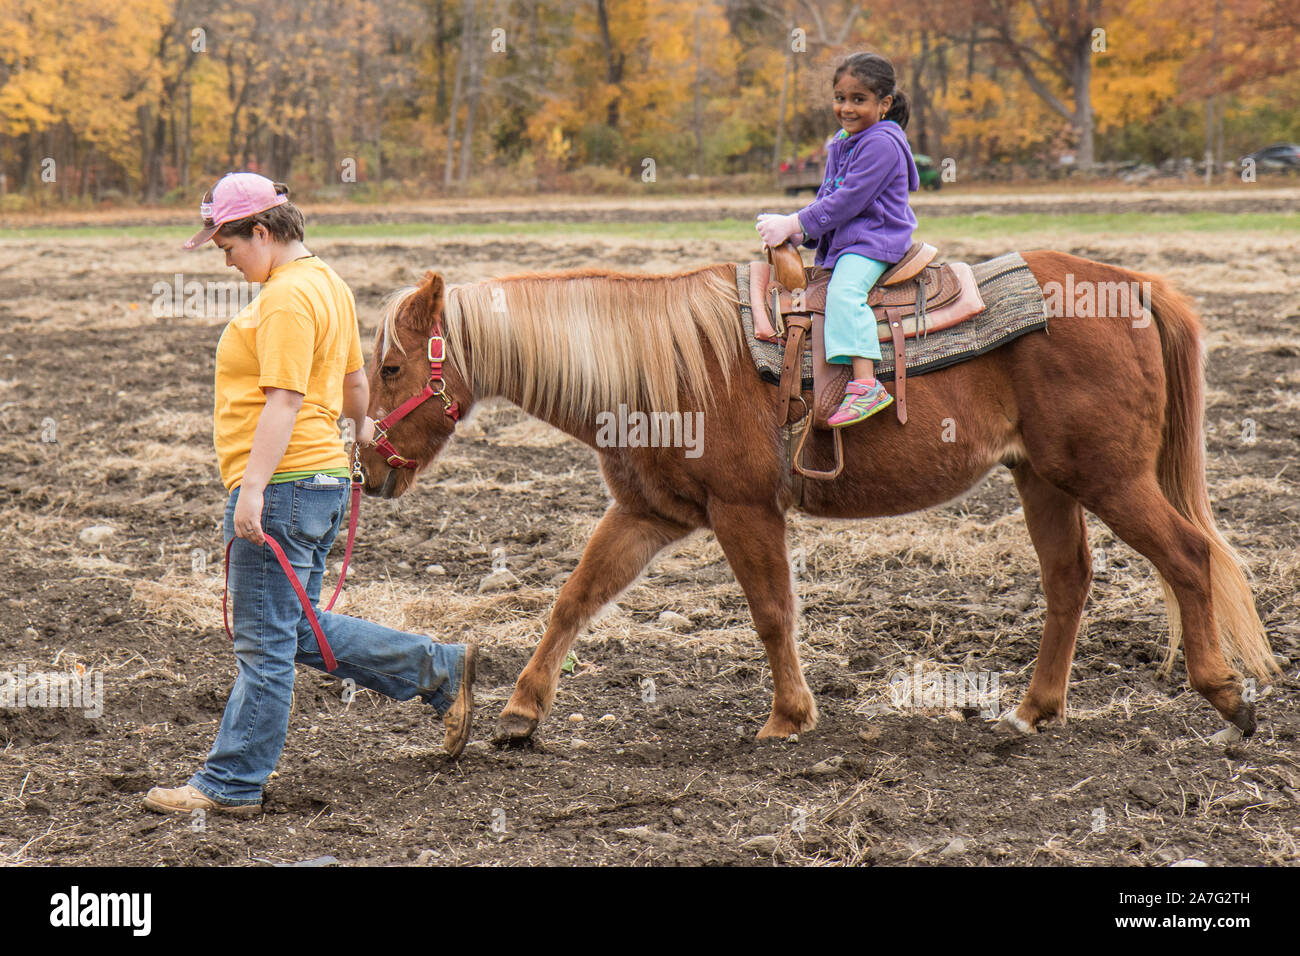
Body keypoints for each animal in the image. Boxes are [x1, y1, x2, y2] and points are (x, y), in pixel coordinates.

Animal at [361, 254, 1274, 749]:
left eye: (393, 367)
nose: (369, 470)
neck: (662, 365)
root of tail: (1136, 287)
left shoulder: (744, 511)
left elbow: (771, 611)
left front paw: (788, 716)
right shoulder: (648, 515)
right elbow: (573, 600)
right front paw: (519, 713)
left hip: (1112, 480)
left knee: (1188, 557)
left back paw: (1226, 694)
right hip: (1043, 479)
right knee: (1069, 582)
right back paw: (1030, 712)